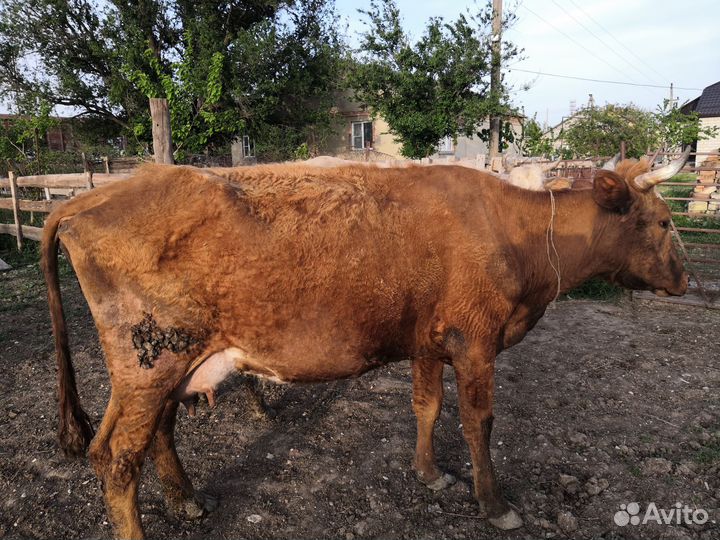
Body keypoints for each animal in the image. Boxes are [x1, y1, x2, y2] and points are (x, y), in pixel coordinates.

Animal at [42, 149, 689, 539]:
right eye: (662, 222)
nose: (688, 278)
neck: (516, 233)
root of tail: (89, 196)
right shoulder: (476, 341)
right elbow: (478, 423)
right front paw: (494, 503)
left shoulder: (429, 340)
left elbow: (426, 405)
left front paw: (429, 473)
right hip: (149, 360)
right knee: (118, 457)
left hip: (164, 367)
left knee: (150, 436)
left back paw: (186, 500)